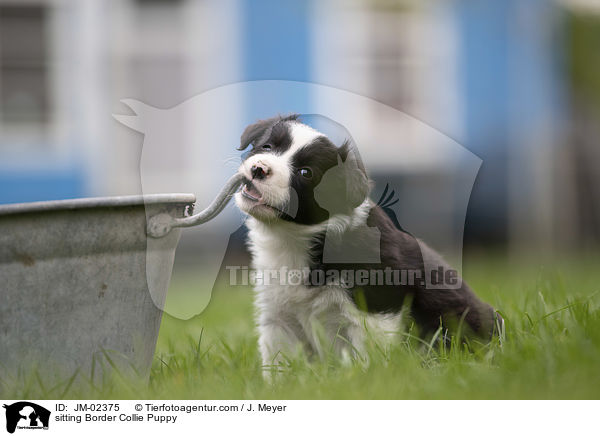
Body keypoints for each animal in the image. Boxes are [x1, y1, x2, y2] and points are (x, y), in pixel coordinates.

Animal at [234, 114, 502, 370]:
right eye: (267, 146)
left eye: (305, 172)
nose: (259, 168)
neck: (294, 238)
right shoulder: (278, 315)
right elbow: (277, 362)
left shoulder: (375, 310)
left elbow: (369, 358)